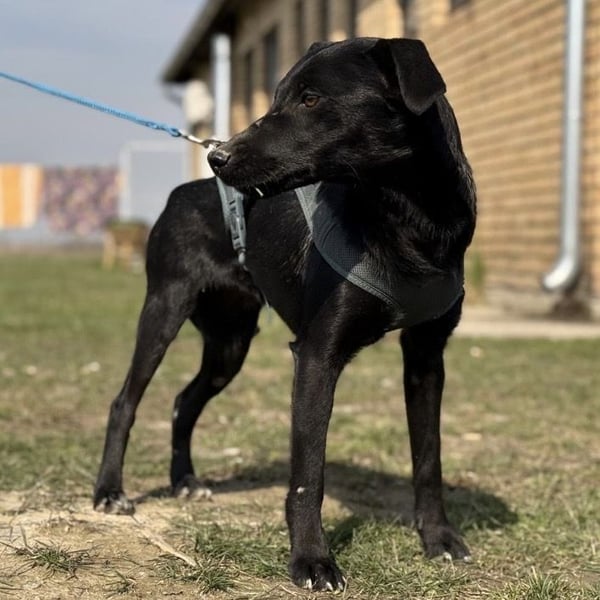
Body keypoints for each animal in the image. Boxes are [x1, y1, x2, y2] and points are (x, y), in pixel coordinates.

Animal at [94, 37, 476, 591]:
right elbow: (307, 475)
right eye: (278, 98)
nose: (217, 157)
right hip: (164, 310)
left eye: (311, 100)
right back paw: (108, 492)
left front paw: (438, 539)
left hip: (229, 343)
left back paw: (185, 480)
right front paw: (312, 560)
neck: (406, 219)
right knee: (125, 401)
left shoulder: (427, 357)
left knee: (185, 400)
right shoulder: (316, 355)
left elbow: (429, 458)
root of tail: (181, 193)